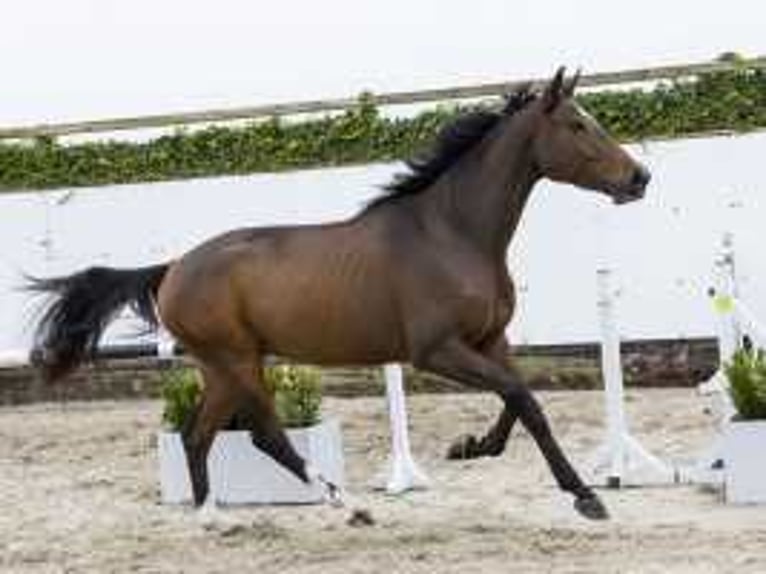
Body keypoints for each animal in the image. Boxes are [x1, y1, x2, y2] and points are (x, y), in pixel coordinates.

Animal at [31, 70, 656, 524]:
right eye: (577, 125)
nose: (639, 178)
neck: (451, 233)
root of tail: (172, 269)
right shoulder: (437, 351)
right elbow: (524, 399)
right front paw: (586, 496)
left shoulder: (489, 340)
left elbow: (518, 400)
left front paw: (471, 446)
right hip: (236, 361)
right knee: (263, 435)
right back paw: (344, 503)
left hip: (223, 367)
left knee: (200, 435)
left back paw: (215, 517)